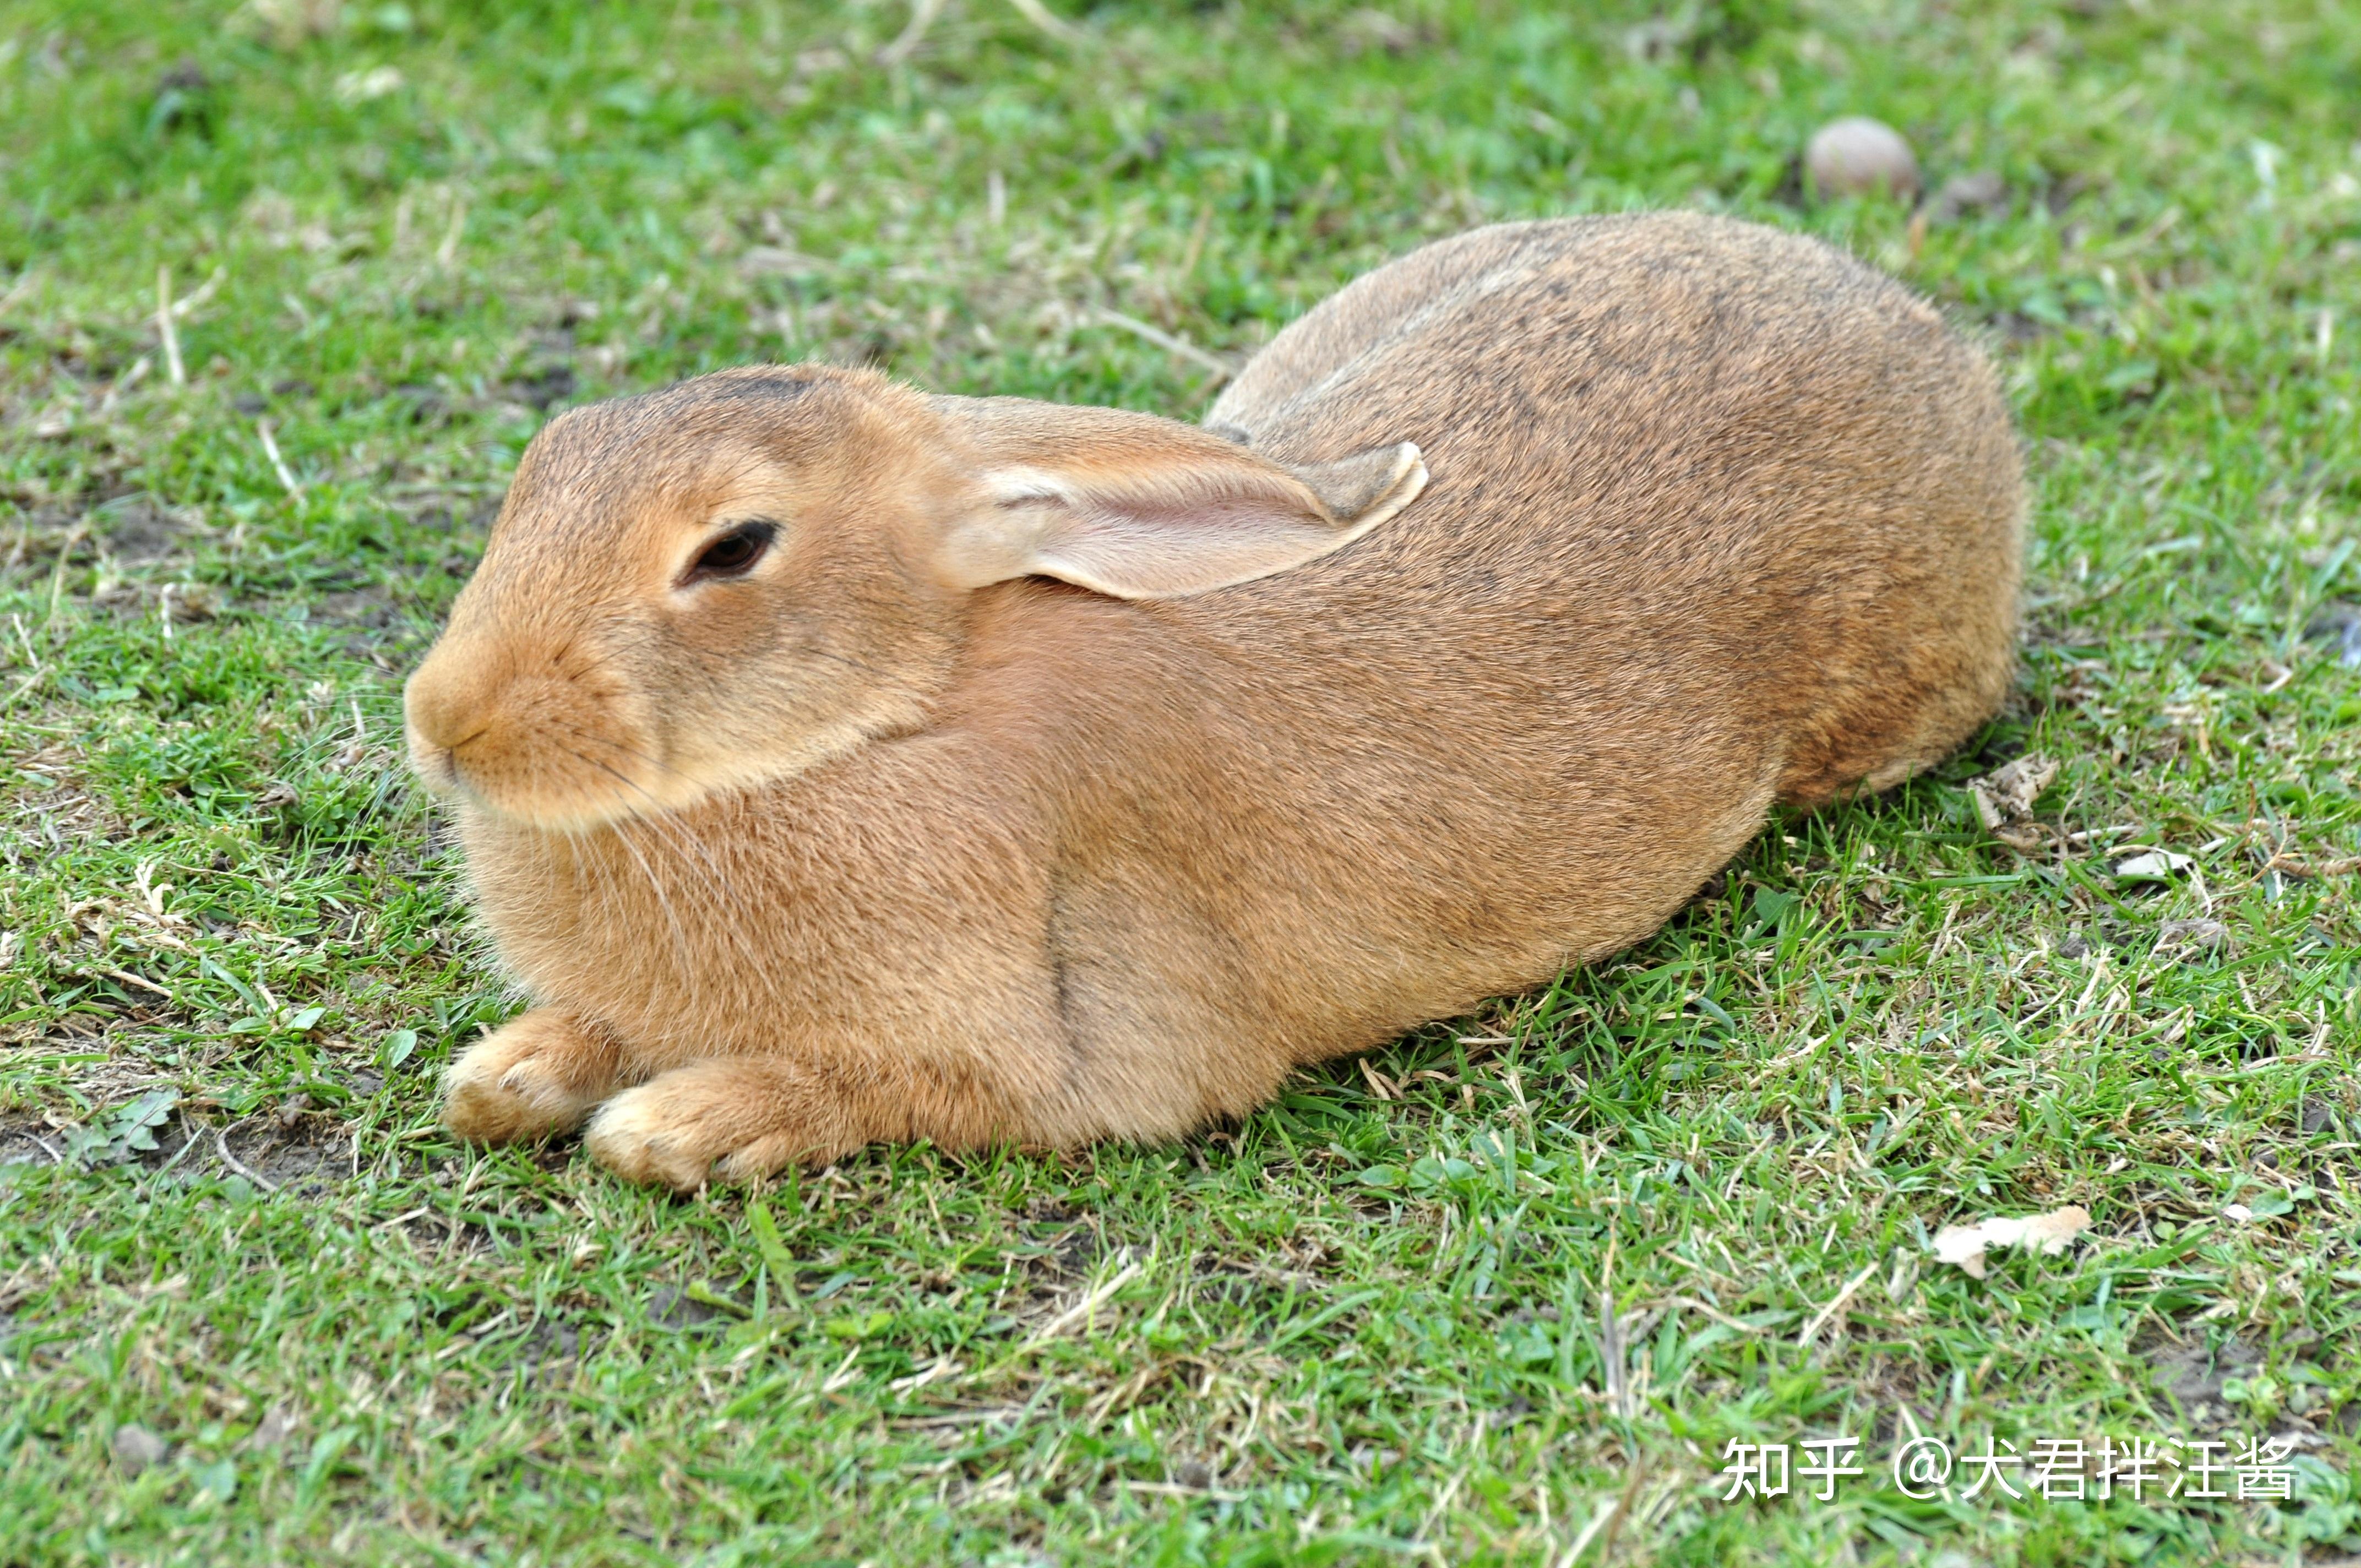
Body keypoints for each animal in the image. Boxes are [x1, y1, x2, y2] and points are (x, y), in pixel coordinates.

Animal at [411, 208, 2030, 1190]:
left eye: (733, 548)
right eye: (544, 460)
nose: (446, 728)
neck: (888, 716)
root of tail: (1922, 337)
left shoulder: (1061, 1062)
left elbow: (875, 1091)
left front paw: (676, 1123)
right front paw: (507, 1074)